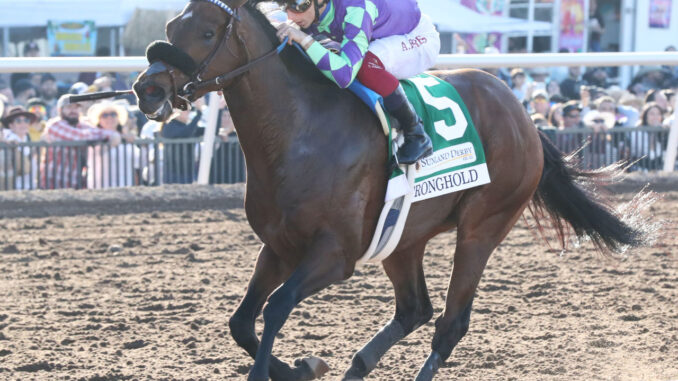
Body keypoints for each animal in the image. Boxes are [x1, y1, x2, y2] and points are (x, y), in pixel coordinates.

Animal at [131, 1, 648, 378]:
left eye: (205, 33)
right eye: (171, 24)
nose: (147, 90)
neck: (299, 132)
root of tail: (523, 114)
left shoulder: (334, 254)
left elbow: (275, 309)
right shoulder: (279, 246)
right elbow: (241, 322)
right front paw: (304, 367)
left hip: (483, 226)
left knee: (450, 322)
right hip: (403, 236)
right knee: (415, 308)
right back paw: (358, 365)